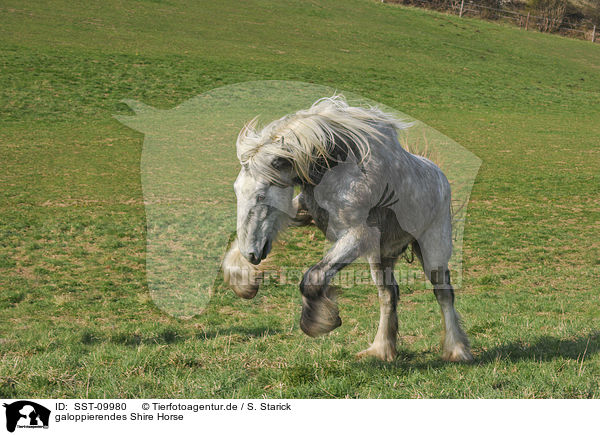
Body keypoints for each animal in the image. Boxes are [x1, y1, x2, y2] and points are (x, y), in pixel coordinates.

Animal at [223, 96, 472, 364]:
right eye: (237, 190)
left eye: (261, 195)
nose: (252, 255)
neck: (338, 169)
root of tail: (438, 174)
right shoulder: (303, 212)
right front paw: (242, 280)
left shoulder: (357, 235)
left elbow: (313, 277)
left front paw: (320, 323)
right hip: (381, 257)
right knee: (388, 296)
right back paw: (381, 349)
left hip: (432, 249)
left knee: (443, 293)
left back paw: (457, 350)